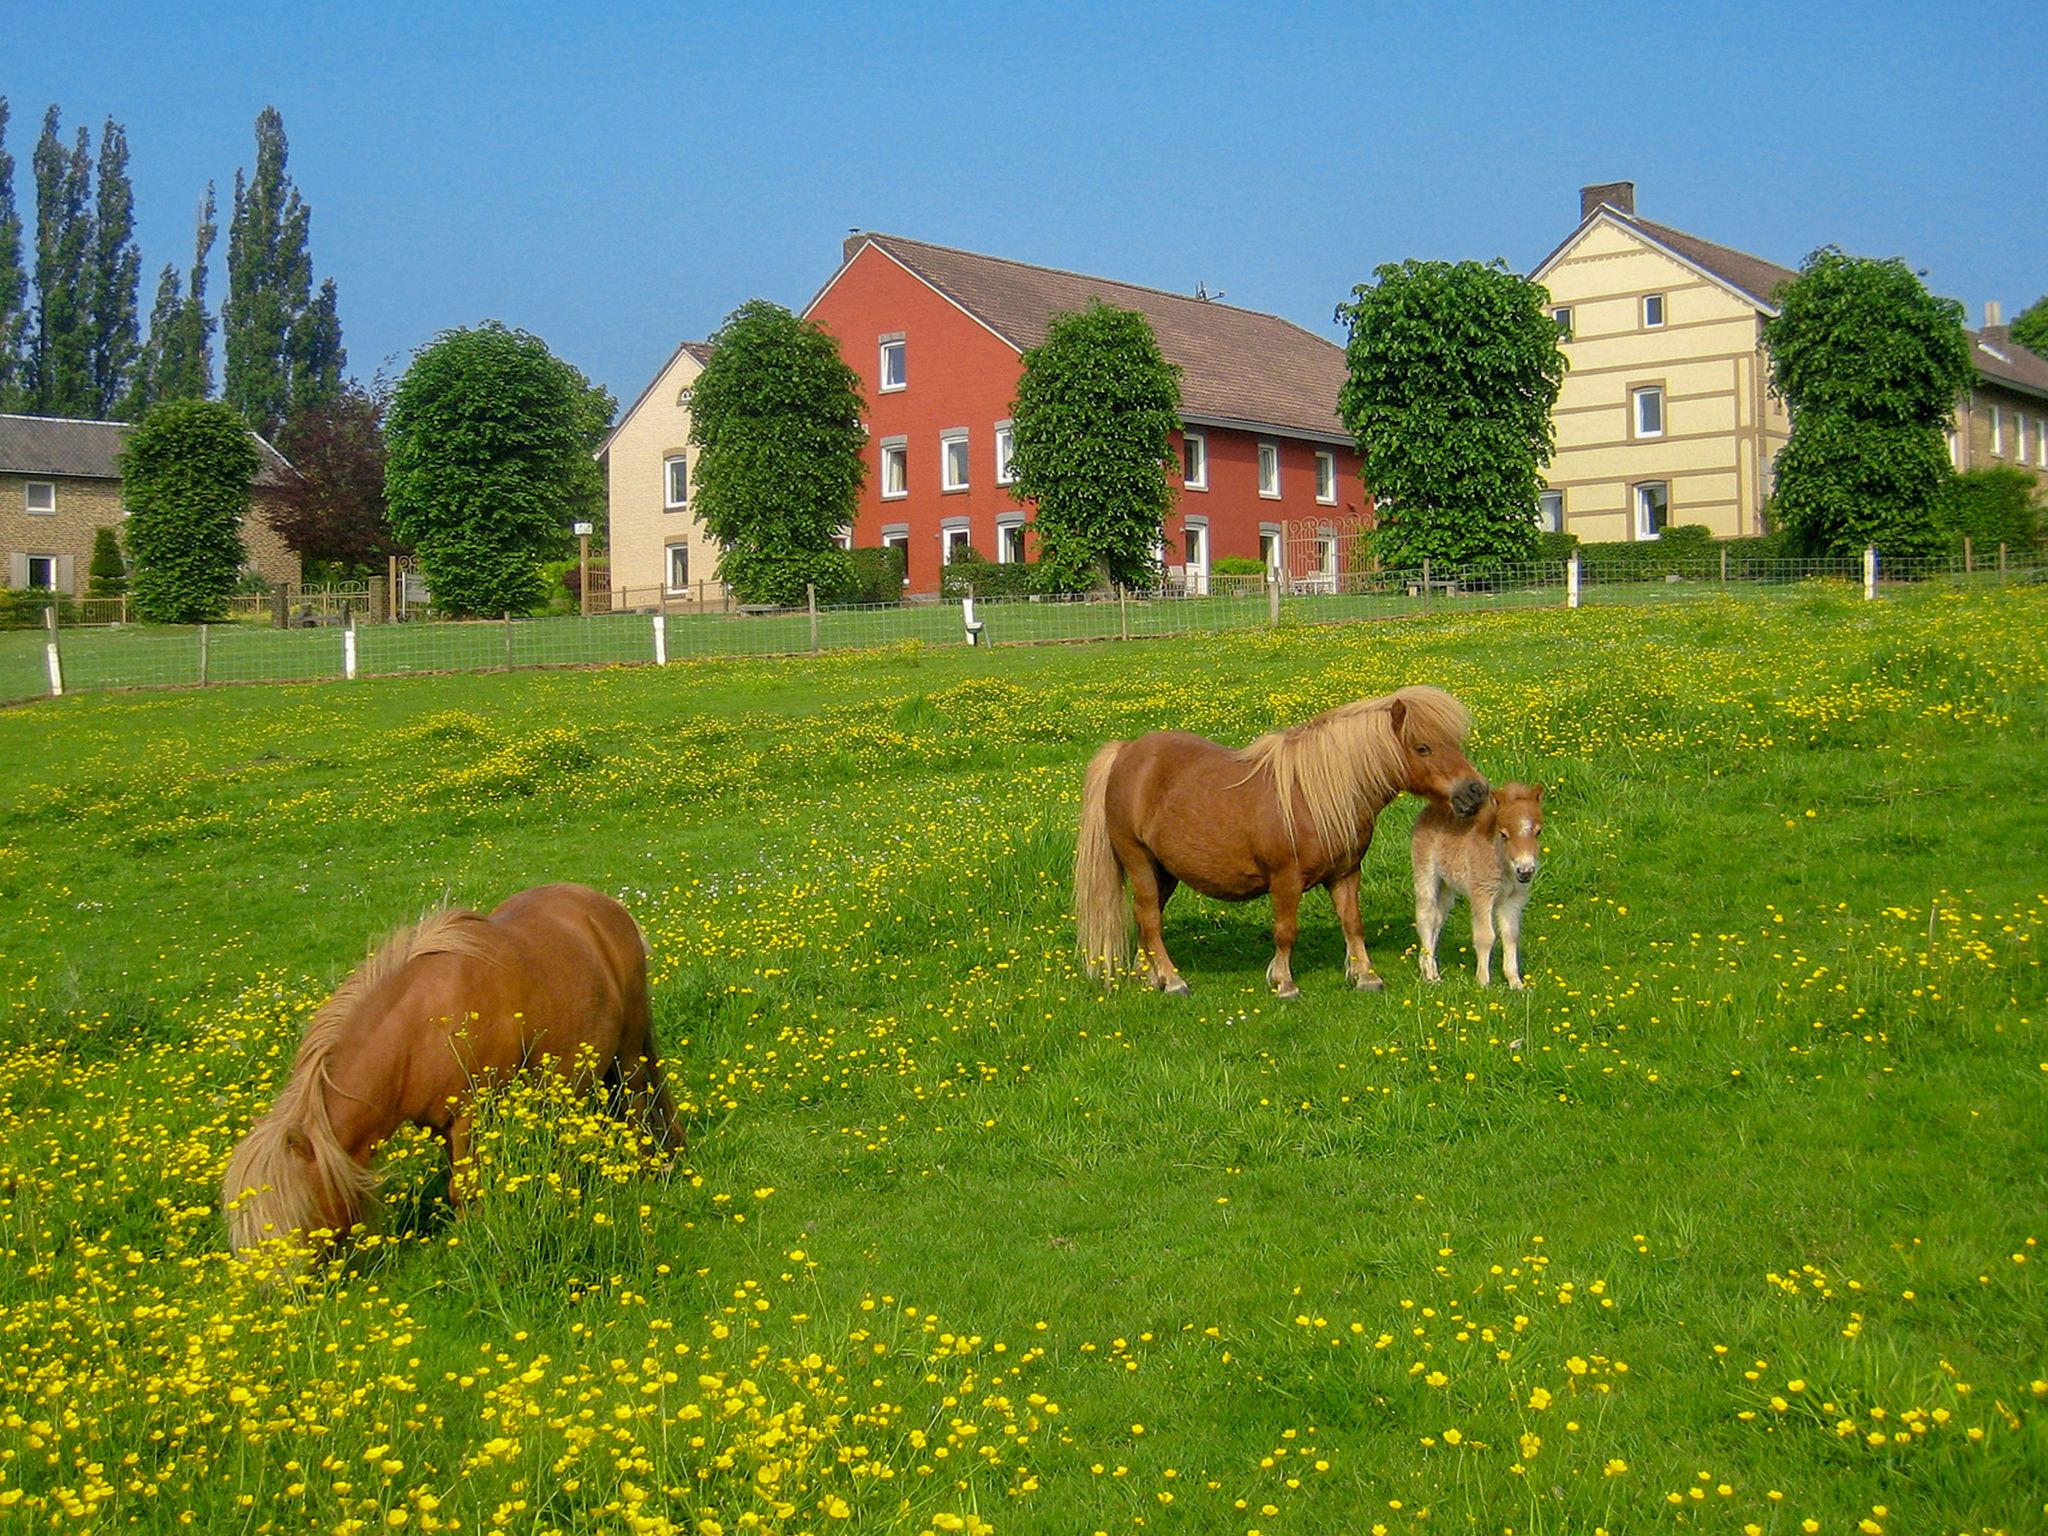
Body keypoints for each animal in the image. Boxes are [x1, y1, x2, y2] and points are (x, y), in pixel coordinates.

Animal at [222, 884, 679, 1253]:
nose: (290, 1293)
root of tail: (607, 908)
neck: (423, 1026)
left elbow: (463, 1188)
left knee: (639, 1107)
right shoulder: (440, 1126)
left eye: (300, 1212)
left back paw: (649, 1172)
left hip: (629, 1052)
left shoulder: (468, 1117)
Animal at [1073, 684, 1490, 999]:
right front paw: (1284, 983)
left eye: (1454, 743)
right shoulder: (1285, 880)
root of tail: (1126, 753)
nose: (1476, 791)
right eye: (1423, 748)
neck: (1314, 796)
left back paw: (1153, 977)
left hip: (1165, 872)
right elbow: (1286, 931)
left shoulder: (1345, 874)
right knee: (1148, 918)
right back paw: (1173, 980)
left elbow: (1353, 923)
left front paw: (1366, 976)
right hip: (1139, 862)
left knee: (1147, 920)